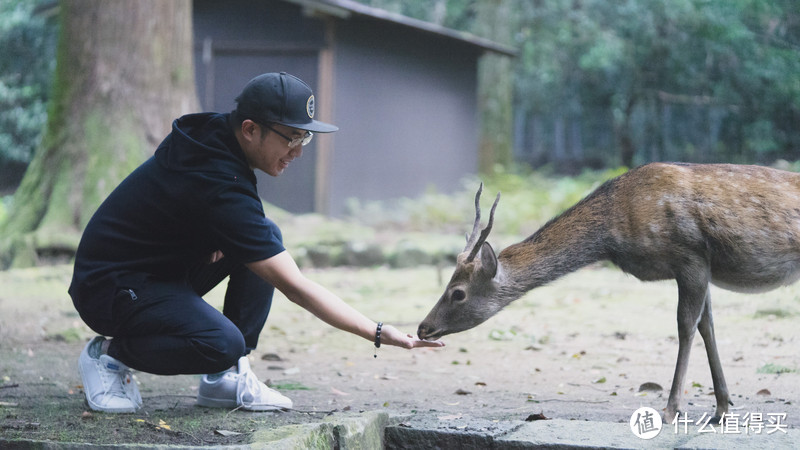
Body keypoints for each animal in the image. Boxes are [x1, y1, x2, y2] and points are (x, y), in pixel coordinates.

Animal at [416, 163, 800, 426]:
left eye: (458, 293)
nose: (423, 328)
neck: (616, 229)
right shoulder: (701, 268)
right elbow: (708, 326)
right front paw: (721, 408)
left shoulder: (689, 255)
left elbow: (685, 326)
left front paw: (671, 410)